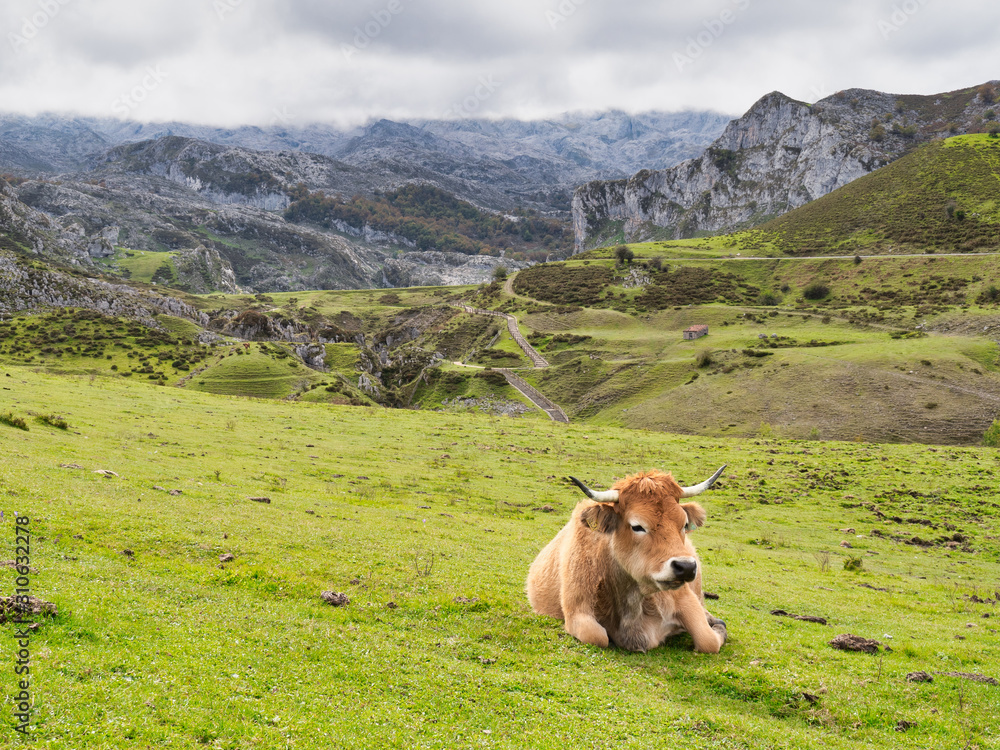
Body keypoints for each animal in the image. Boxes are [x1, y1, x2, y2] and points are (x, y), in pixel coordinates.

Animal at [526, 466, 728, 653]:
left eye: (684, 524)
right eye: (637, 526)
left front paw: (718, 627)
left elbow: (707, 640)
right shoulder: (576, 610)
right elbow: (597, 636)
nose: (686, 567)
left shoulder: (685, 598)